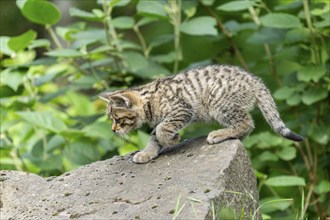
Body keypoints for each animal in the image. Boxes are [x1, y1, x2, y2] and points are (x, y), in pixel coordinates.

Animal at [99, 64, 302, 162]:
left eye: (117, 119)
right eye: (111, 120)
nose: (113, 130)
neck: (149, 100)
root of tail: (255, 80)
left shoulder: (181, 110)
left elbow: (162, 131)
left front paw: (172, 140)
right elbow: (155, 136)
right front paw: (147, 153)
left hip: (218, 103)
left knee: (247, 122)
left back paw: (220, 134)